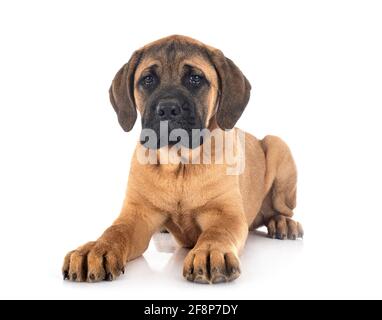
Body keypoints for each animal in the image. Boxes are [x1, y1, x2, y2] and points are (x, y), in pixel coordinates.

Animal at [62, 35, 302, 284]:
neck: (178, 167)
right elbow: (115, 231)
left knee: (279, 210)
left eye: (195, 79)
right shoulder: (137, 215)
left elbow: (217, 232)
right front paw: (96, 248)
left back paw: (282, 222)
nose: (168, 109)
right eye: (148, 80)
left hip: (277, 145)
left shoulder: (226, 214)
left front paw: (210, 251)